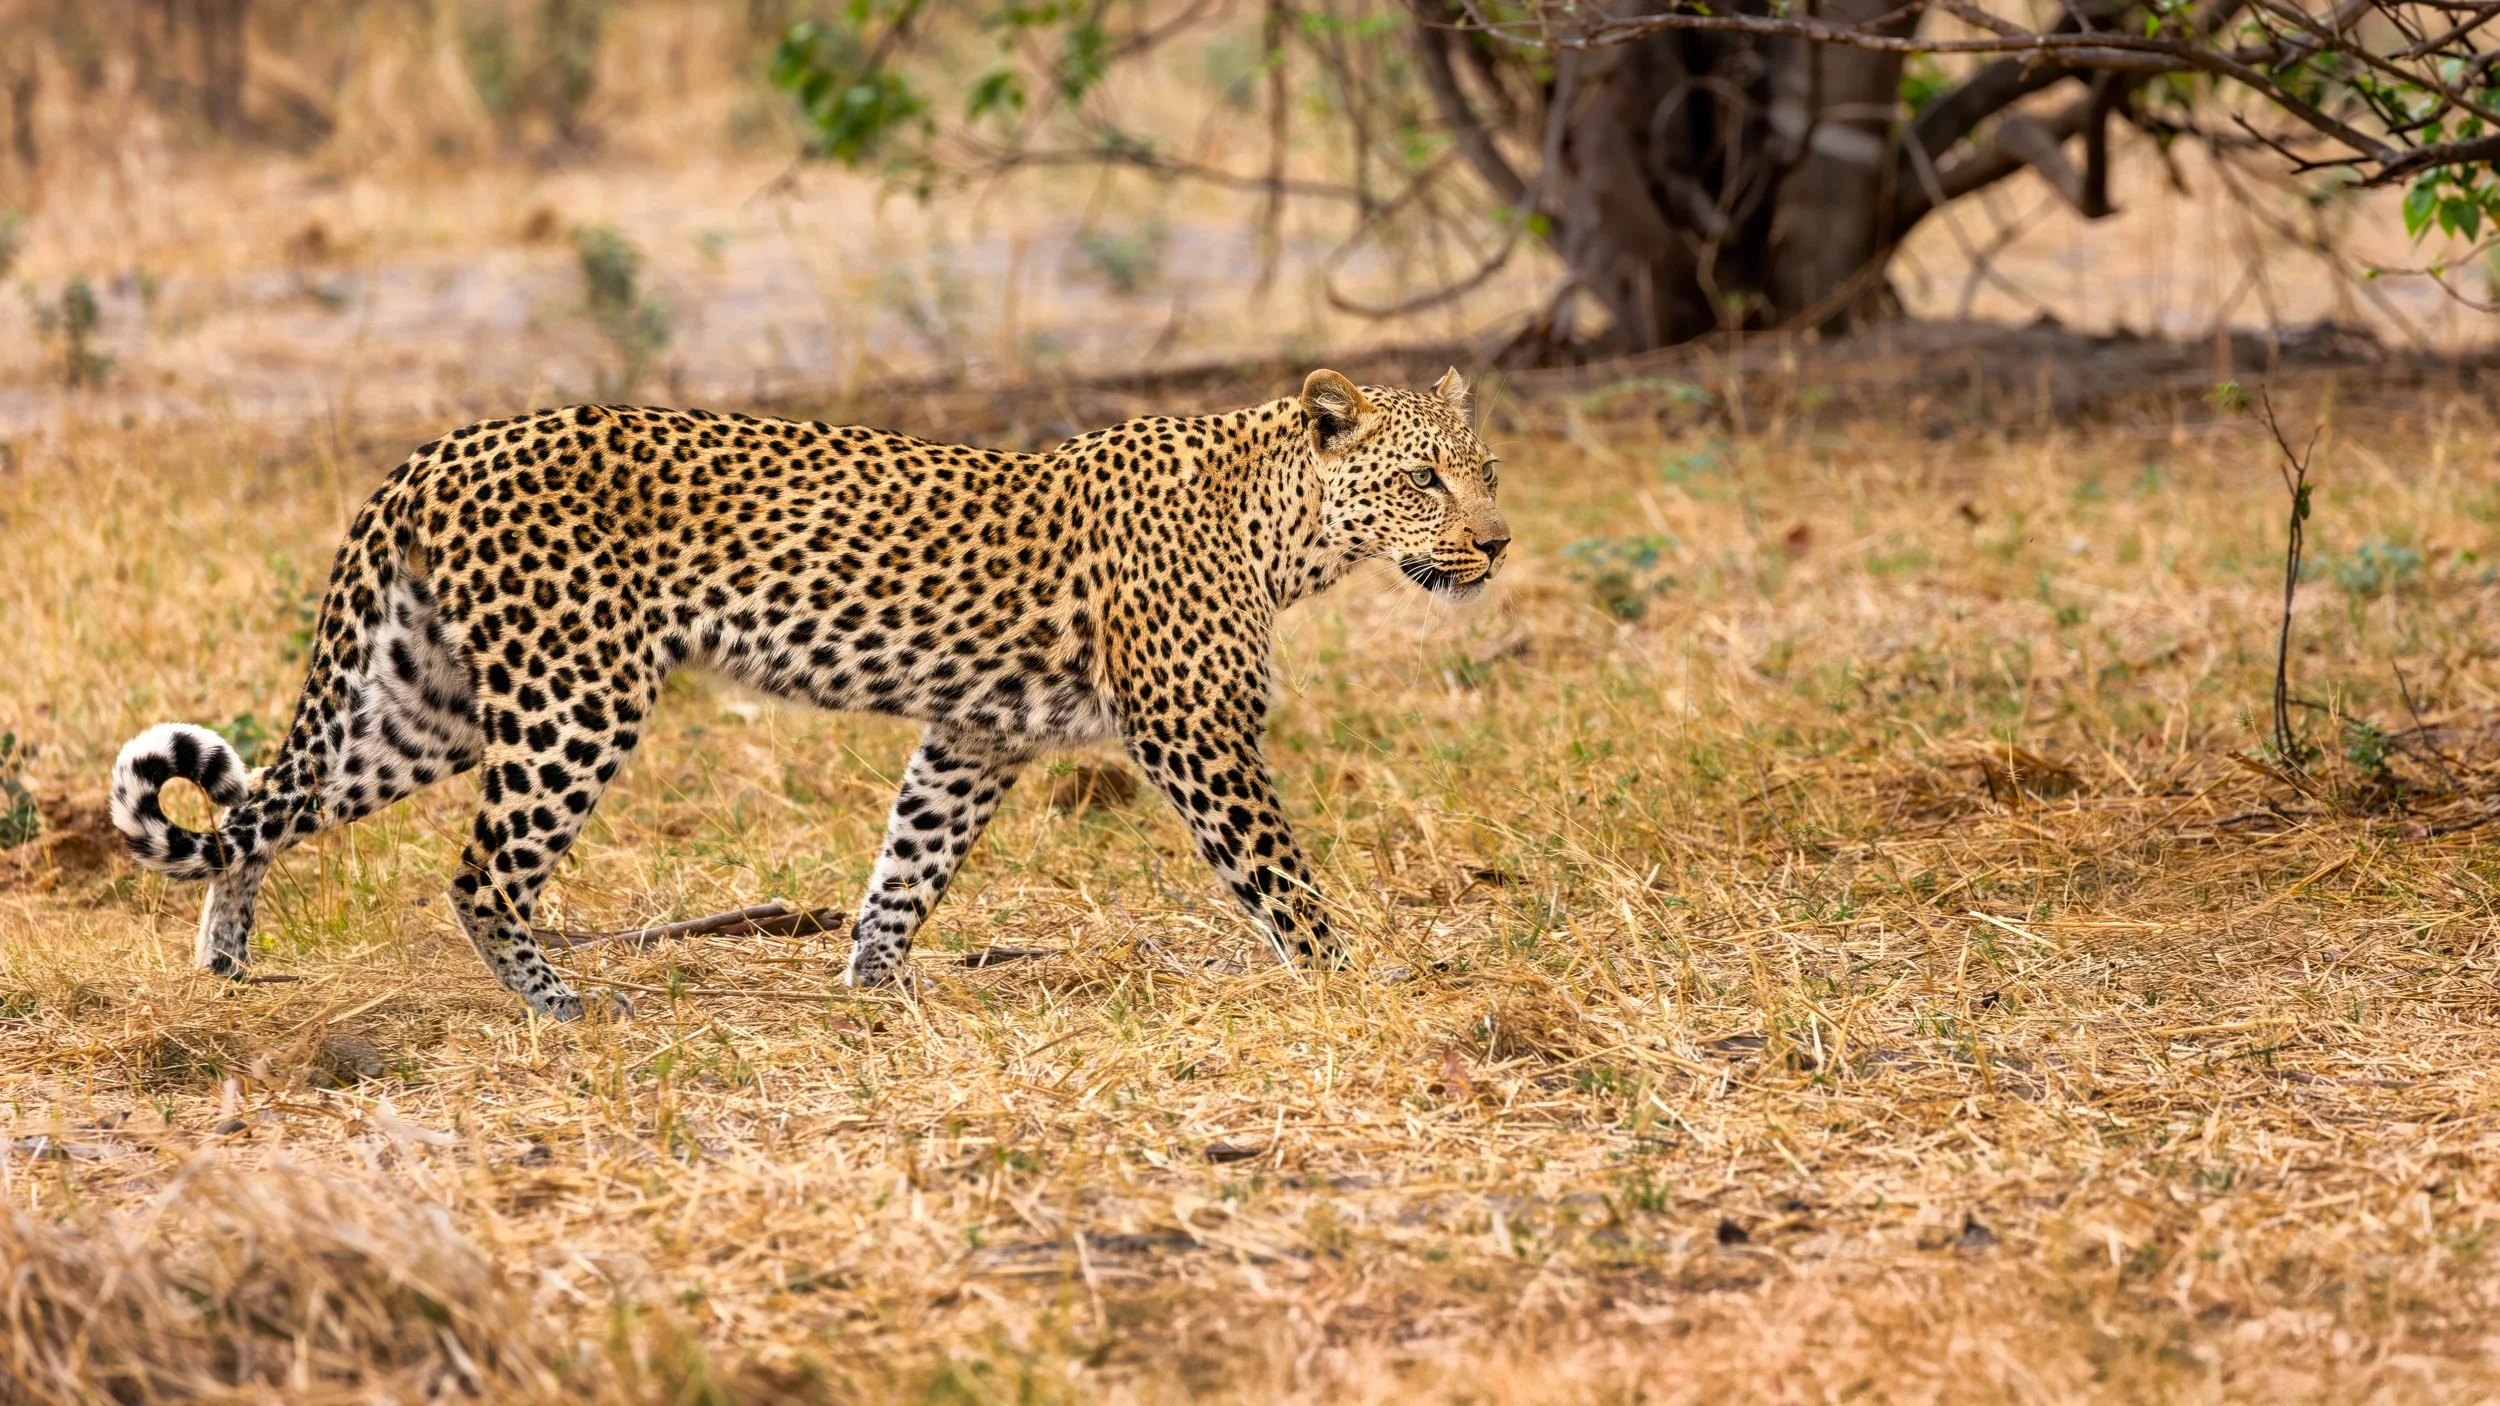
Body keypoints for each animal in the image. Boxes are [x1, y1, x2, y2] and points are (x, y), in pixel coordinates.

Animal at [108, 368, 1507, 1020]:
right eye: (1424, 479)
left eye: (1485, 470)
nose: (1496, 544)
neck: (1288, 532)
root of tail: (435, 449)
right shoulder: (1194, 729)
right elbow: (1280, 876)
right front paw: (1351, 981)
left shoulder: (975, 733)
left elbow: (910, 858)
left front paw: (874, 983)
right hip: (576, 694)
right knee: (478, 873)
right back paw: (565, 1005)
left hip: (426, 699)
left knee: (261, 805)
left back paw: (225, 964)